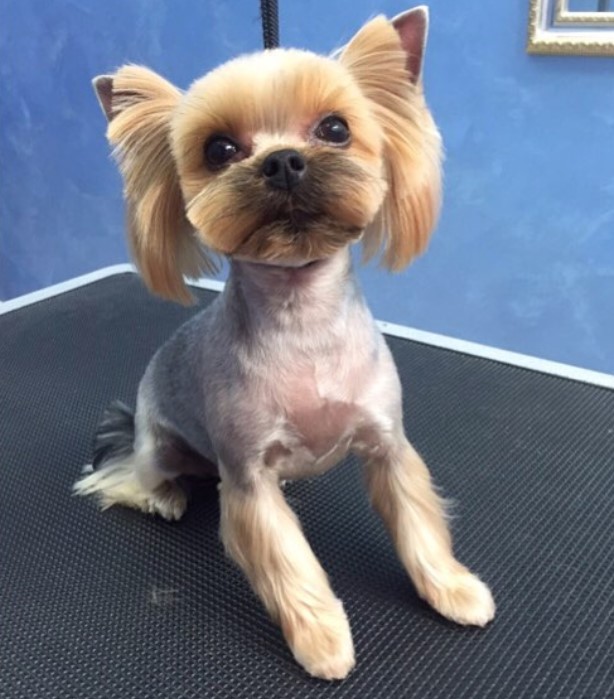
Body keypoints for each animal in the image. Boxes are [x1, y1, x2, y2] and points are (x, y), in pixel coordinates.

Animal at [73, 6, 496, 680]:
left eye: (335, 128)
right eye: (219, 149)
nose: (283, 162)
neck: (304, 323)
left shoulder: (390, 446)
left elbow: (418, 524)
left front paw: (451, 588)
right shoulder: (247, 481)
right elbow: (288, 564)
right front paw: (321, 639)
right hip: (160, 446)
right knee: (125, 477)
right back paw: (163, 495)